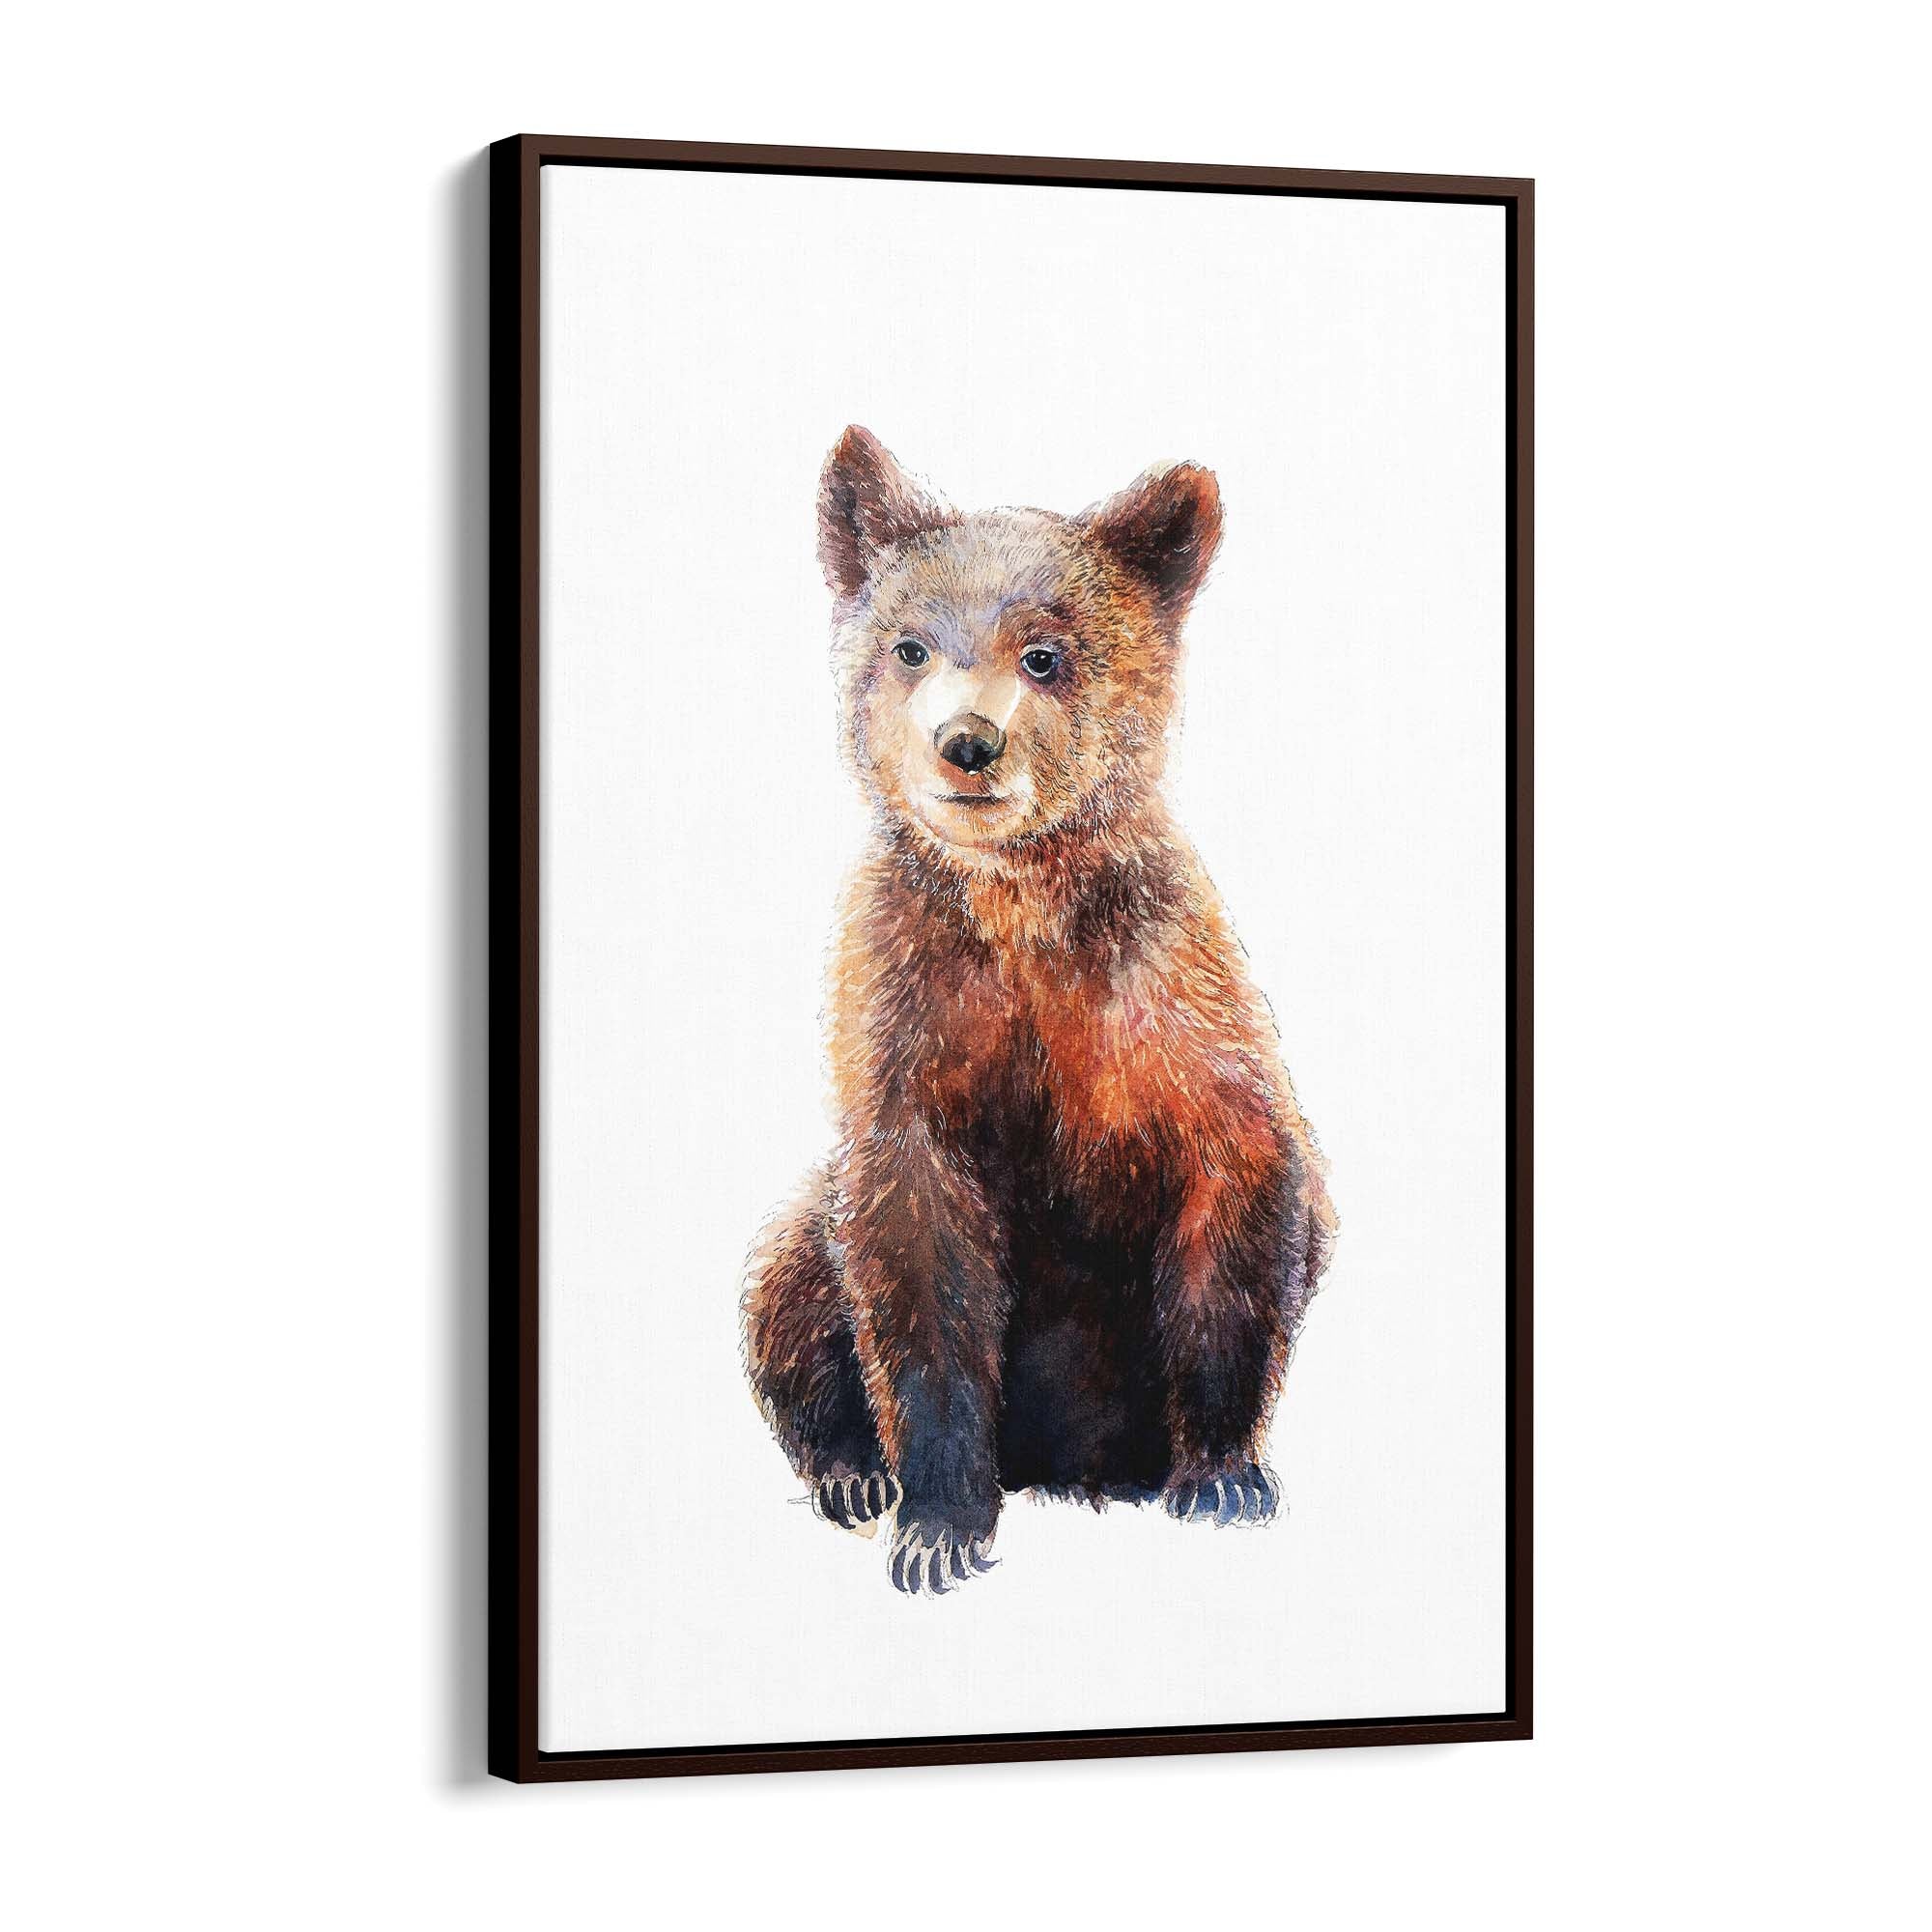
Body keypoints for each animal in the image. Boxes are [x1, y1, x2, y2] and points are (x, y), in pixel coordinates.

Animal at [742, 426, 1336, 1595]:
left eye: (1045, 654)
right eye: (910, 645)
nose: (967, 742)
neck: (1019, 907)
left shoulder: (1167, 1002)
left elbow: (1240, 1192)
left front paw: (1222, 1477)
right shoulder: (909, 1016)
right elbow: (916, 1264)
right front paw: (935, 1523)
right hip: (807, 1222)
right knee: (786, 1275)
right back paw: (849, 1472)